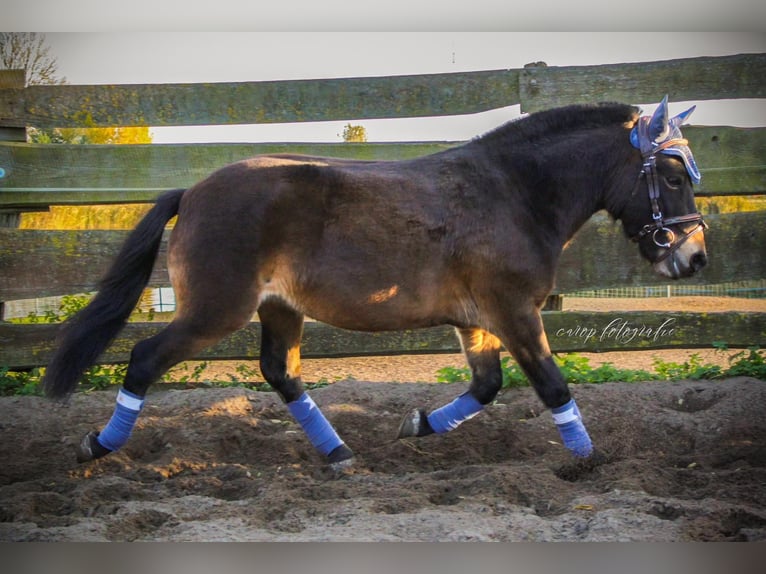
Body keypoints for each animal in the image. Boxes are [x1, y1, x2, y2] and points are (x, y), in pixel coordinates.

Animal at [45, 97, 712, 470]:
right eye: (674, 175)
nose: (696, 257)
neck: (514, 193)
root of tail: (192, 192)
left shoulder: (477, 321)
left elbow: (487, 387)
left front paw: (416, 425)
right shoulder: (515, 311)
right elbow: (551, 385)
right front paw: (587, 463)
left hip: (280, 309)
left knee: (281, 374)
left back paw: (339, 454)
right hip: (215, 311)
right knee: (143, 358)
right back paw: (95, 445)